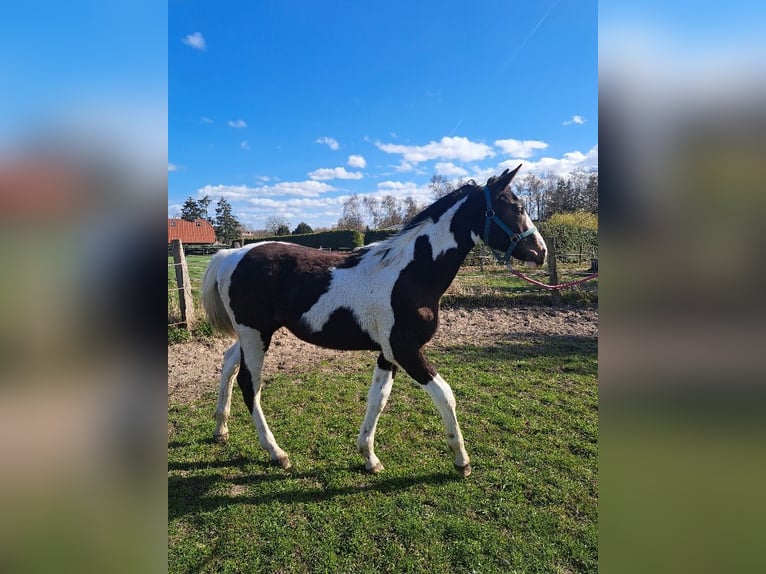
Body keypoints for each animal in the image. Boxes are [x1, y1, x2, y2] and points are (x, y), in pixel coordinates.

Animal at [201, 166, 547, 476]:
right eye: (517, 207)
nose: (540, 252)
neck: (411, 274)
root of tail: (231, 256)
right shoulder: (406, 351)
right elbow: (445, 395)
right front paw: (462, 462)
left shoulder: (389, 354)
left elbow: (377, 399)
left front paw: (369, 457)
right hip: (256, 334)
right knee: (250, 384)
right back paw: (277, 453)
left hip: (252, 334)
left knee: (228, 362)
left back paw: (221, 429)